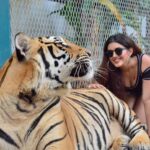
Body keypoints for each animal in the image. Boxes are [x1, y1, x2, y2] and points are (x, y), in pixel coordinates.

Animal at [0, 32, 149, 149]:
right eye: (61, 44)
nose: (89, 52)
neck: (25, 108)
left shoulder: (59, 143)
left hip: (118, 105)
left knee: (139, 127)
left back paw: (139, 143)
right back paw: (122, 141)